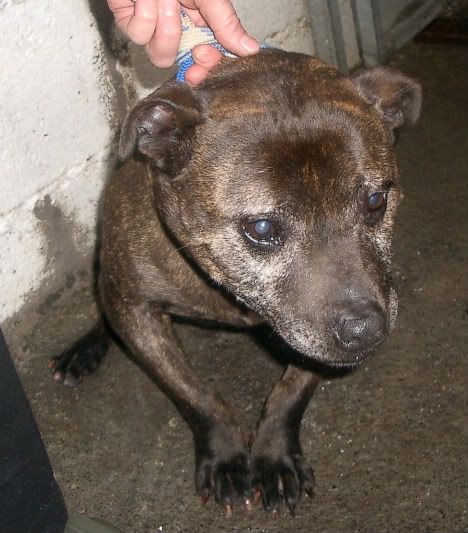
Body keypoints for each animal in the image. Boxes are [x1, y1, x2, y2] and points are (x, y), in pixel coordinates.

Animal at [50, 50, 420, 516]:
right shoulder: (137, 313)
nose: (365, 331)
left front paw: (275, 457)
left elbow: (290, 393)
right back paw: (82, 352)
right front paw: (226, 456)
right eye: (262, 228)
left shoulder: (313, 341)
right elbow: (194, 394)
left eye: (376, 202)